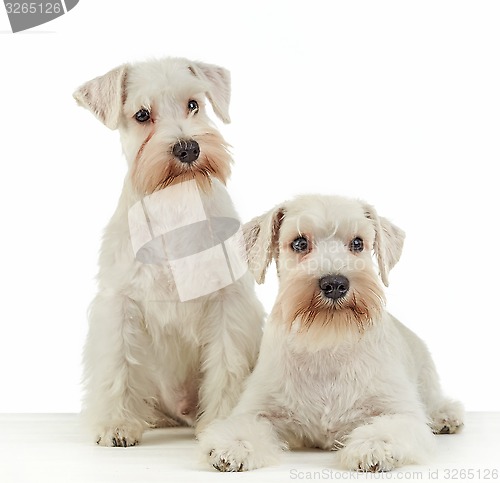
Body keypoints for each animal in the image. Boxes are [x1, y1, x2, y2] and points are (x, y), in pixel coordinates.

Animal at [200, 194, 464, 472]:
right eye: (300, 243)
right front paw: (233, 445)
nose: (335, 283)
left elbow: (390, 427)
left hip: (426, 377)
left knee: (435, 399)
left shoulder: (400, 411)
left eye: (358, 243)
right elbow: (243, 425)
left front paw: (373, 446)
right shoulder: (258, 408)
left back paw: (445, 416)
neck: (327, 343)